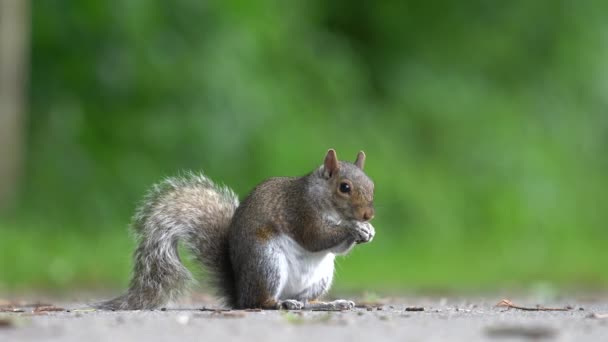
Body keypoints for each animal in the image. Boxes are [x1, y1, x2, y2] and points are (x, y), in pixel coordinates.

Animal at [97, 149, 376, 310]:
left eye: (372, 185)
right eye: (344, 187)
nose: (368, 215)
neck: (324, 200)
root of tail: (240, 292)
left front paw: (368, 229)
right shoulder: (301, 212)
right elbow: (316, 238)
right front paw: (354, 228)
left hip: (320, 277)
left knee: (307, 301)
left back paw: (330, 304)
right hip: (266, 262)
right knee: (259, 302)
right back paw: (282, 302)